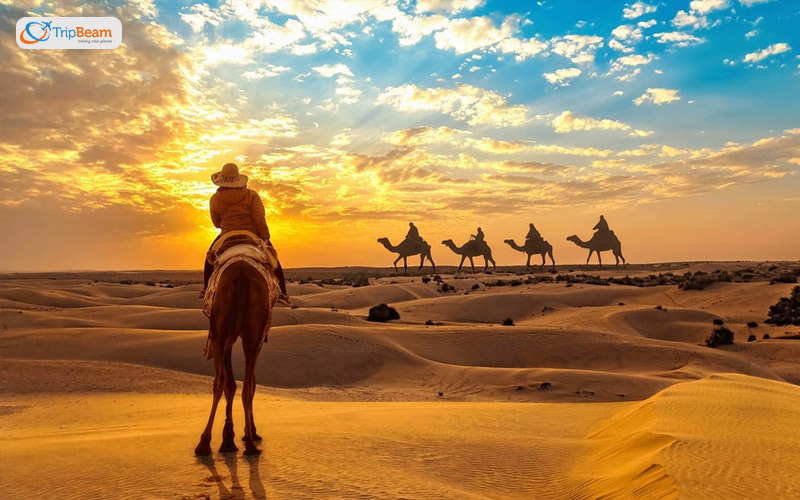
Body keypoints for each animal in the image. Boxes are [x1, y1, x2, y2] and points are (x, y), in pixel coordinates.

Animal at [195, 259, 275, 457]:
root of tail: (241, 274)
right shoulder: (254, 340)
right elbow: (244, 383)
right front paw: (240, 434)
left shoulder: (226, 340)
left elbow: (231, 384)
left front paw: (229, 438)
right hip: (247, 335)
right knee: (242, 385)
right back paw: (250, 444)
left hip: (221, 334)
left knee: (221, 381)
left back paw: (205, 443)